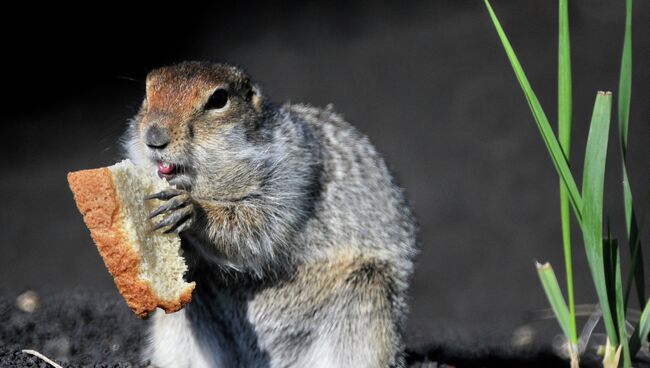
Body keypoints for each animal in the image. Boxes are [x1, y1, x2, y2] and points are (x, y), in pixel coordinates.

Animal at [121, 61, 416, 366]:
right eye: (147, 92)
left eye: (218, 100)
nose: (154, 138)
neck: (211, 182)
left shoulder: (292, 173)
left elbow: (255, 227)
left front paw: (191, 209)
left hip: (369, 294)